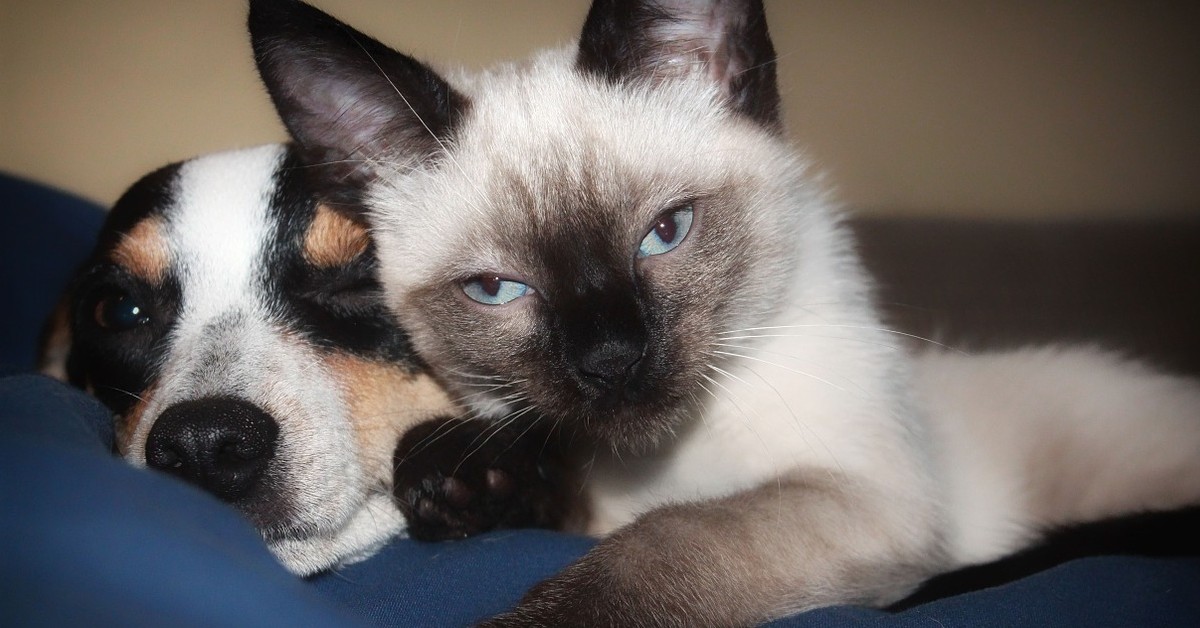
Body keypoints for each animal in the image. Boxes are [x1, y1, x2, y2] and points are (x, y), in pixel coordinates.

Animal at [248, 0, 1200, 624]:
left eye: (666, 233)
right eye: (496, 291)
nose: (612, 359)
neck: (663, 462)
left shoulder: (865, 499)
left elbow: (658, 547)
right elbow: (521, 472)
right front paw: (461, 479)